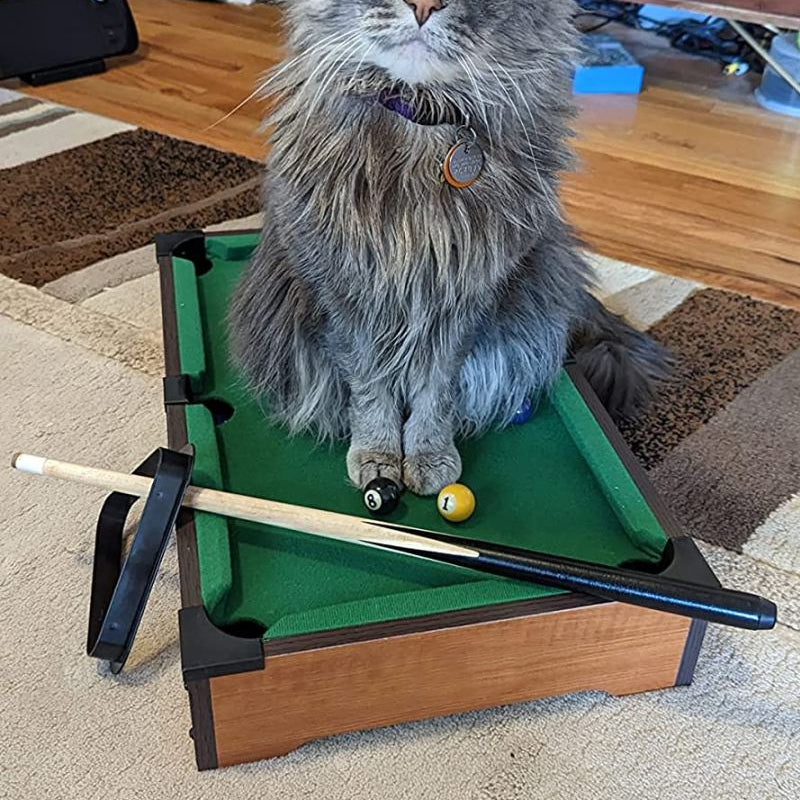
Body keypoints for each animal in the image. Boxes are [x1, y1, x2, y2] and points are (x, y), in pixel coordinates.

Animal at [228, 1, 664, 494]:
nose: (422, 6)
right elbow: (370, 389)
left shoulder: (469, 299)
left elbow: (437, 392)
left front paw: (428, 453)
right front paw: (378, 455)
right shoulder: (341, 297)